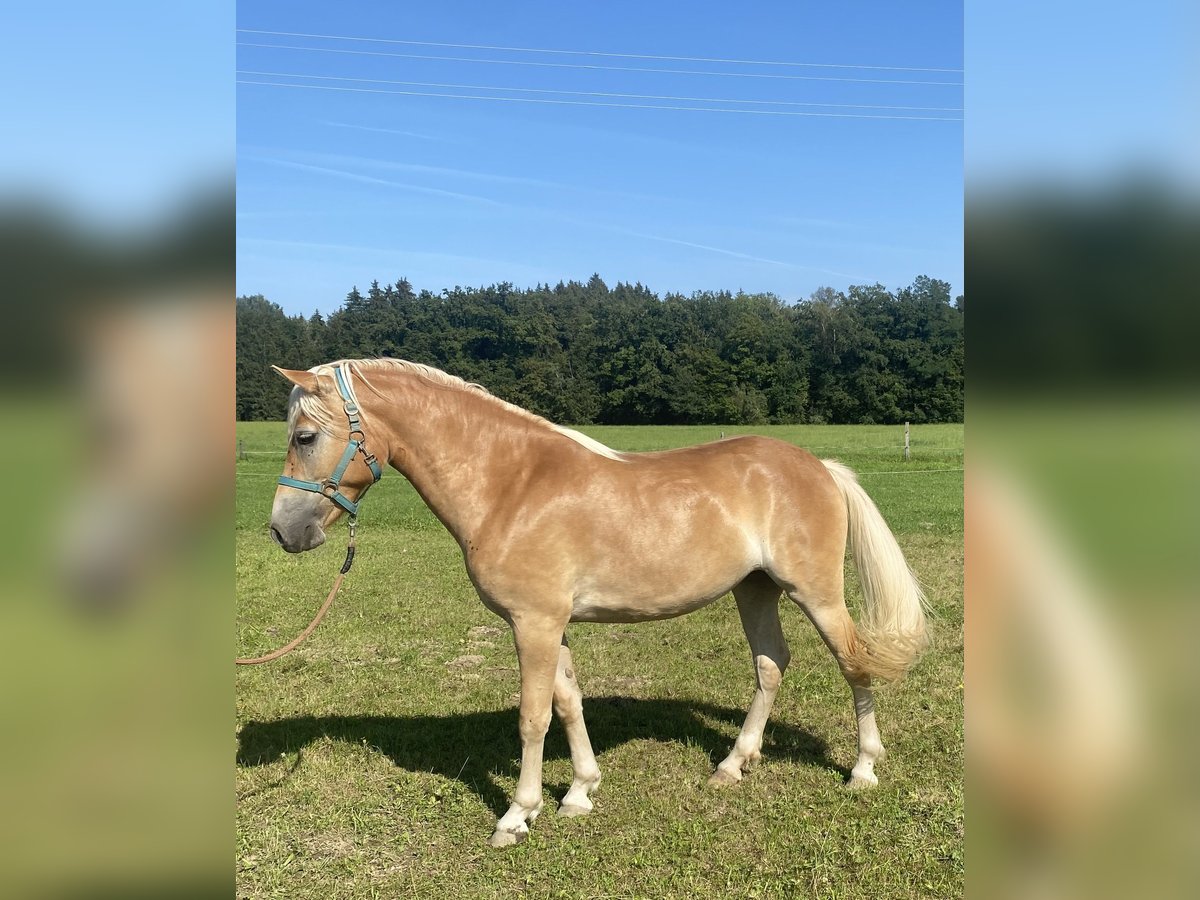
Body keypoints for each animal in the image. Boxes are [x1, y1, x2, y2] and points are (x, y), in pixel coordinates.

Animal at [270, 357, 926, 844]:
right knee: (770, 665)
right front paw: (580, 791)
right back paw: (732, 765)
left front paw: (517, 814)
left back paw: (863, 769)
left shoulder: (533, 623)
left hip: (815, 593)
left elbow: (533, 717)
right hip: (755, 589)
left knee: (853, 662)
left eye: (305, 436)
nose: (283, 531)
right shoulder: (548, 624)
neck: (511, 485)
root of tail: (819, 466)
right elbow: (567, 704)